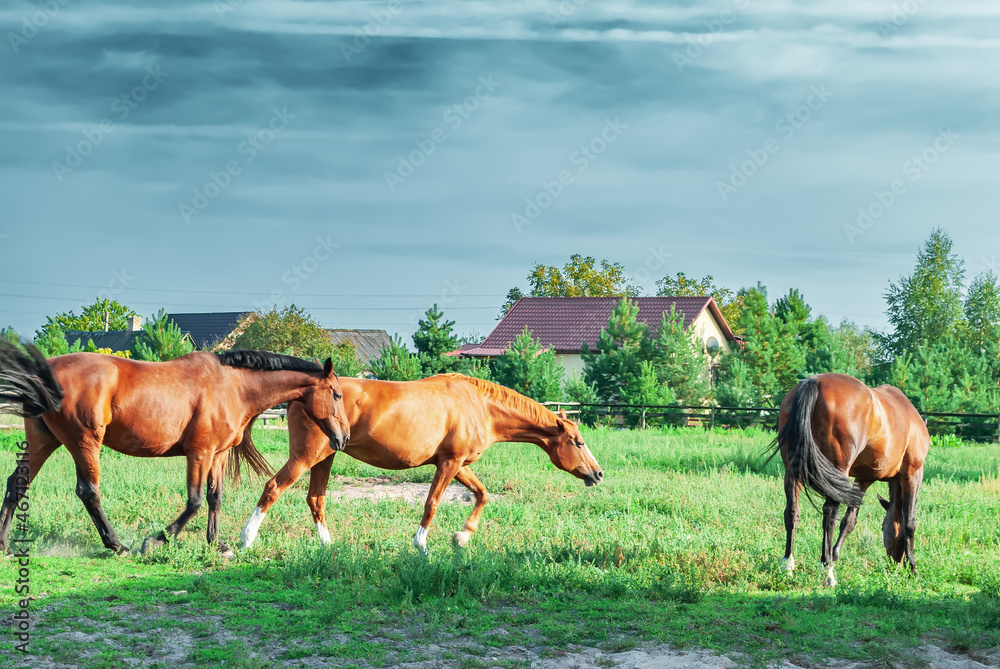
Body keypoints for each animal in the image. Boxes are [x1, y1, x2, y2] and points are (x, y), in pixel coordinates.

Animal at [0, 342, 350, 556]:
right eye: (336, 394)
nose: (343, 437)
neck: (233, 386)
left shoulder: (218, 454)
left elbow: (215, 498)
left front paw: (217, 544)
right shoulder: (200, 452)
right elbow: (194, 502)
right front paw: (155, 541)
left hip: (45, 441)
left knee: (17, 484)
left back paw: (5, 544)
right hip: (84, 442)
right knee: (88, 491)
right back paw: (118, 546)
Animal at [240, 373, 604, 552]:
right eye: (578, 442)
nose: (598, 474)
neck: (479, 405)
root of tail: (299, 396)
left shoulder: (458, 463)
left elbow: (482, 494)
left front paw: (462, 537)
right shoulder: (449, 463)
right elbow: (431, 504)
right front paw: (422, 547)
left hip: (325, 457)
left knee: (315, 499)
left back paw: (328, 547)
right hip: (306, 457)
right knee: (273, 488)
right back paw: (246, 540)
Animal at [773, 373, 929, 586]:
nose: (895, 563)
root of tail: (814, 383)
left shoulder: (863, 479)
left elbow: (849, 521)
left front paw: (835, 554)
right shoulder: (912, 475)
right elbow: (909, 522)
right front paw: (914, 569)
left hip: (792, 471)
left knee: (792, 512)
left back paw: (787, 565)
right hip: (838, 470)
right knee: (829, 514)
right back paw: (827, 571)